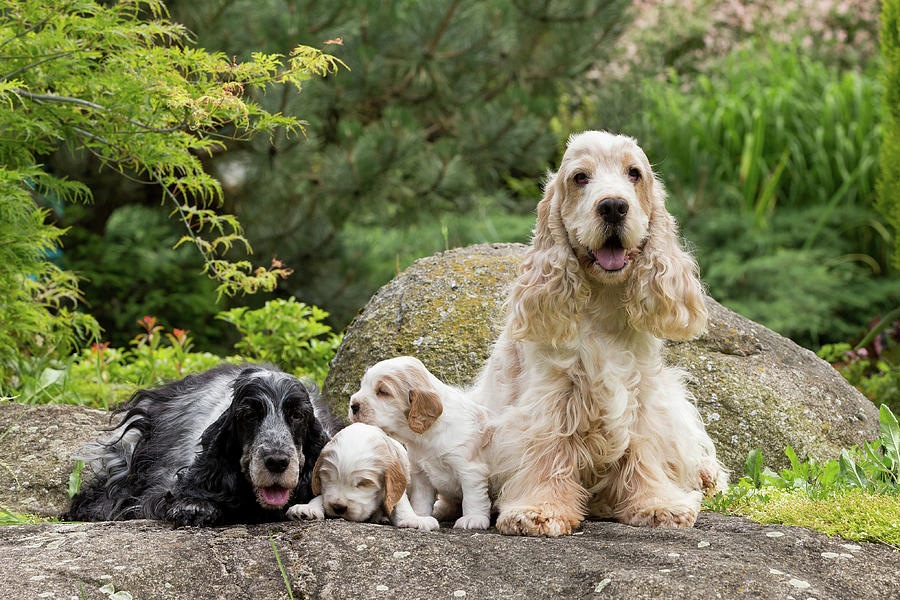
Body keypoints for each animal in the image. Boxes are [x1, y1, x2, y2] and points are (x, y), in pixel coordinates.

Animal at [288, 420, 440, 532]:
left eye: (363, 484)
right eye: (329, 478)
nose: (338, 508)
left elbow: (400, 501)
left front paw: (414, 519)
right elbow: (321, 496)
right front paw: (308, 508)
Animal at [350, 356, 492, 528]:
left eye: (383, 392)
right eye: (362, 386)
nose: (353, 405)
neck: (426, 436)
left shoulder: (470, 469)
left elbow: (472, 496)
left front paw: (473, 518)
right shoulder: (420, 474)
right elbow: (421, 499)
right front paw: (420, 517)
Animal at [474, 129, 728, 536]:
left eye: (634, 173)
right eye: (580, 177)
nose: (612, 206)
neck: (603, 306)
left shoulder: (641, 393)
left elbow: (644, 450)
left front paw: (657, 504)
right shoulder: (551, 398)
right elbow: (547, 450)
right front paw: (539, 510)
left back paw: (707, 476)